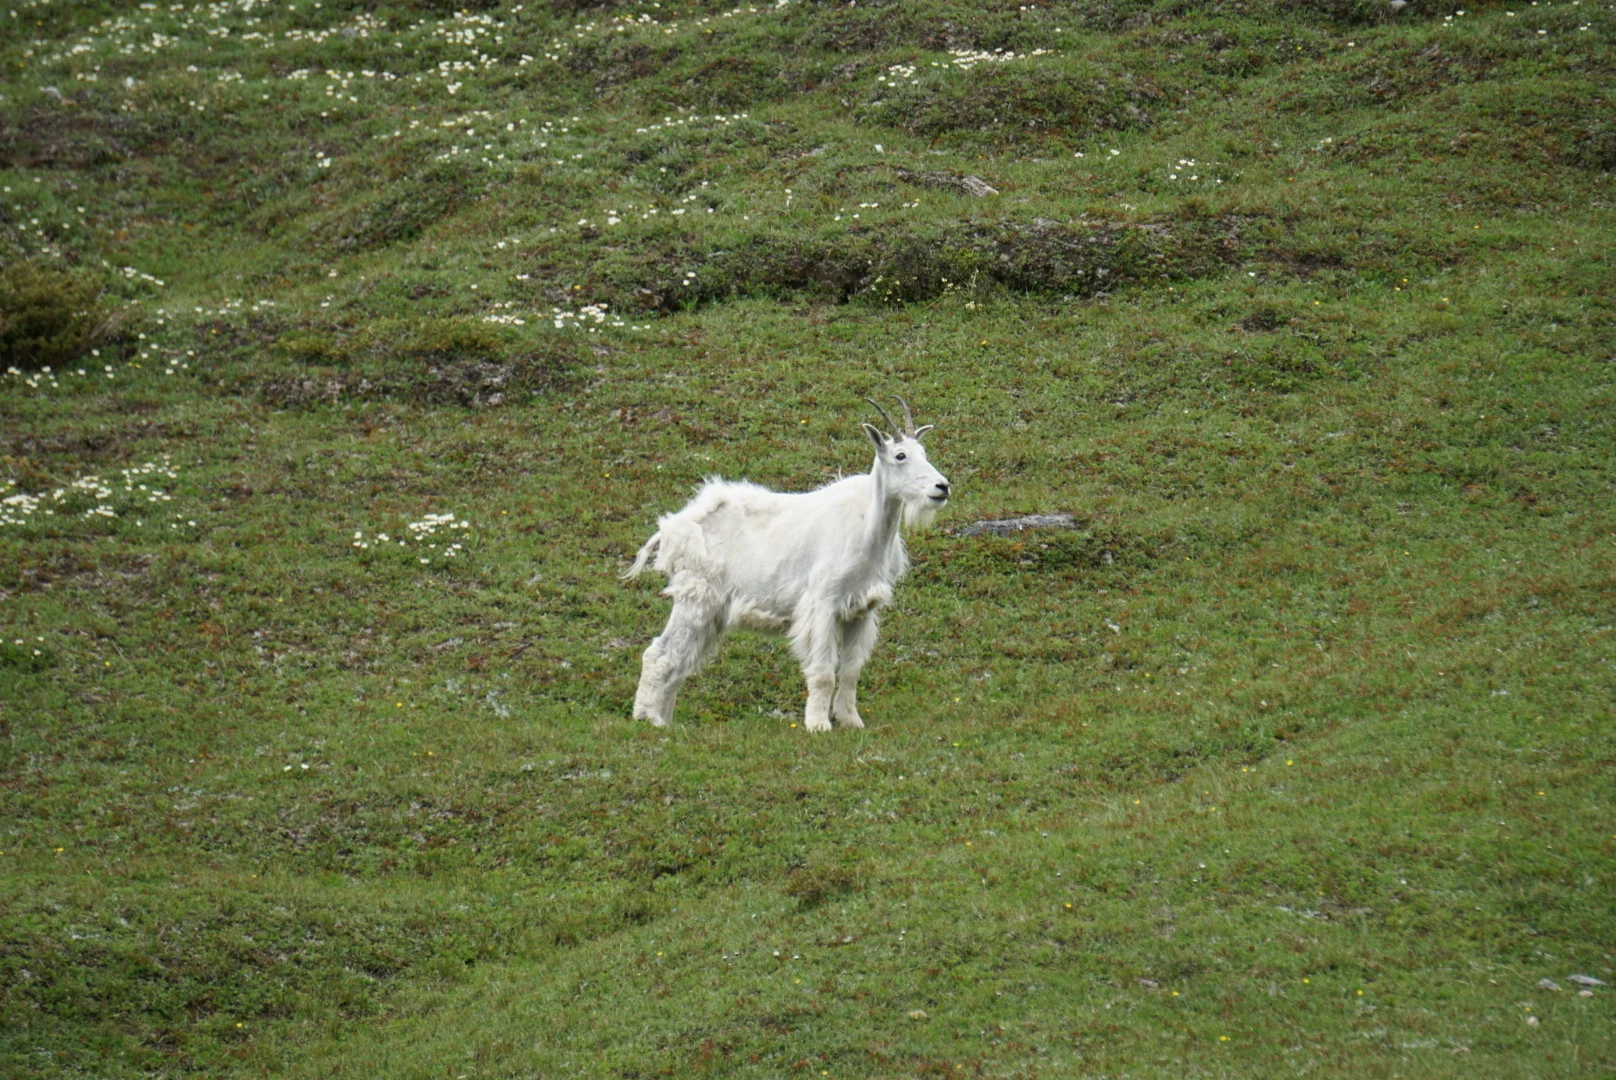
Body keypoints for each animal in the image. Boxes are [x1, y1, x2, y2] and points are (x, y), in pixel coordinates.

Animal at [624, 398, 950, 732]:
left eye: (924, 453)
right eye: (900, 455)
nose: (942, 487)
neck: (868, 527)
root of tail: (674, 528)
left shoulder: (862, 610)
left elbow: (851, 672)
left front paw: (850, 721)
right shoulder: (824, 603)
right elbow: (823, 671)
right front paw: (818, 725)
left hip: (711, 611)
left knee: (680, 662)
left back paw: (665, 720)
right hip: (695, 599)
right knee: (659, 654)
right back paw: (648, 719)